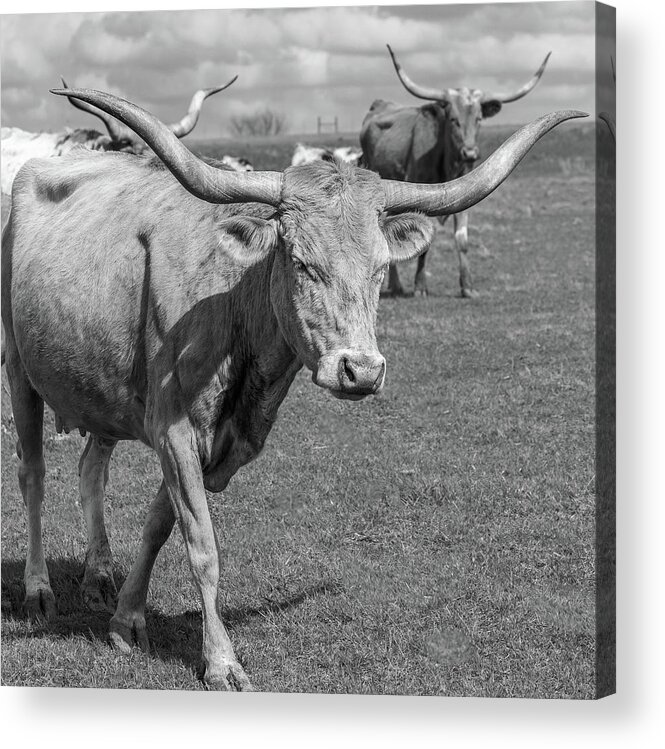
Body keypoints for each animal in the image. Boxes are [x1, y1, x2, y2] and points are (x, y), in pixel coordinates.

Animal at [360, 44, 552, 298]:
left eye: (479, 118)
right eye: (453, 119)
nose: (470, 153)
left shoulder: (464, 196)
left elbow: (462, 239)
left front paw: (467, 286)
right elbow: (424, 246)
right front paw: (420, 287)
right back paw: (397, 286)